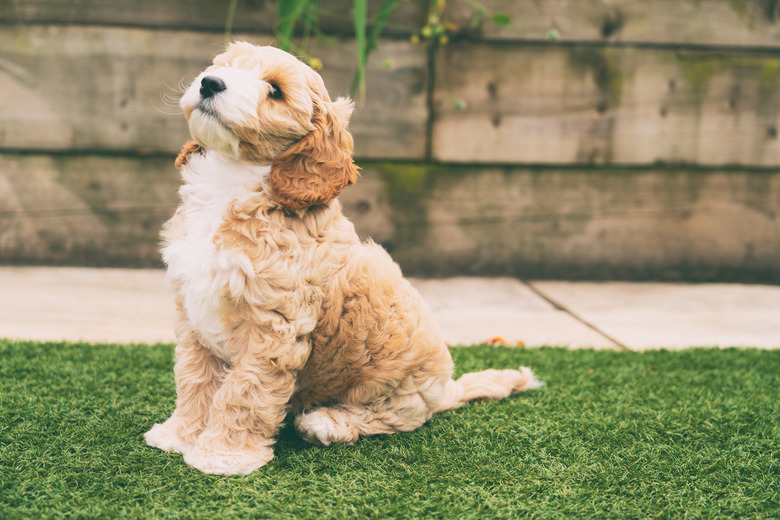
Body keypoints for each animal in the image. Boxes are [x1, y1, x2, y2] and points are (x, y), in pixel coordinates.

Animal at [143, 42, 544, 476]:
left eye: (275, 91)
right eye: (224, 65)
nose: (210, 82)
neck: (231, 180)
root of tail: (445, 389)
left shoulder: (273, 327)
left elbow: (244, 391)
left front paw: (224, 455)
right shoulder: (194, 313)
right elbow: (194, 379)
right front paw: (180, 434)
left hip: (398, 386)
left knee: (392, 416)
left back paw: (327, 422)